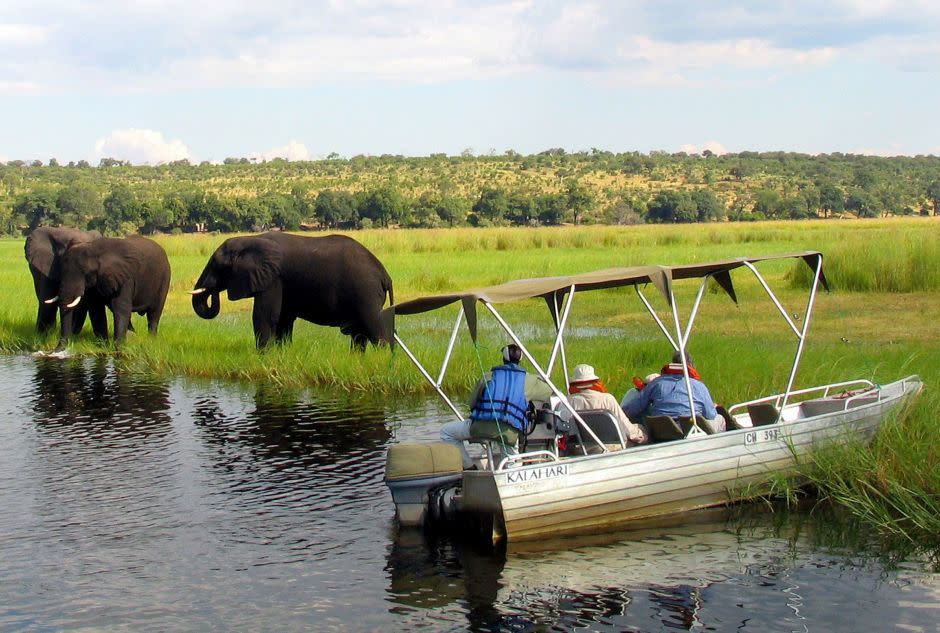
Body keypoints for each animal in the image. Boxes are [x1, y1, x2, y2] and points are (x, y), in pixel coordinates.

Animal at [189, 232, 394, 350]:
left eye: (217, 265)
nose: (213, 289)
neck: (249, 238)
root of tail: (385, 275)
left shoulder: (273, 278)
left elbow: (265, 316)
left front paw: (263, 355)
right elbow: (283, 319)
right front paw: (282, 353)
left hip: (366, 294)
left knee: (374, 328)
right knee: (359, 334)